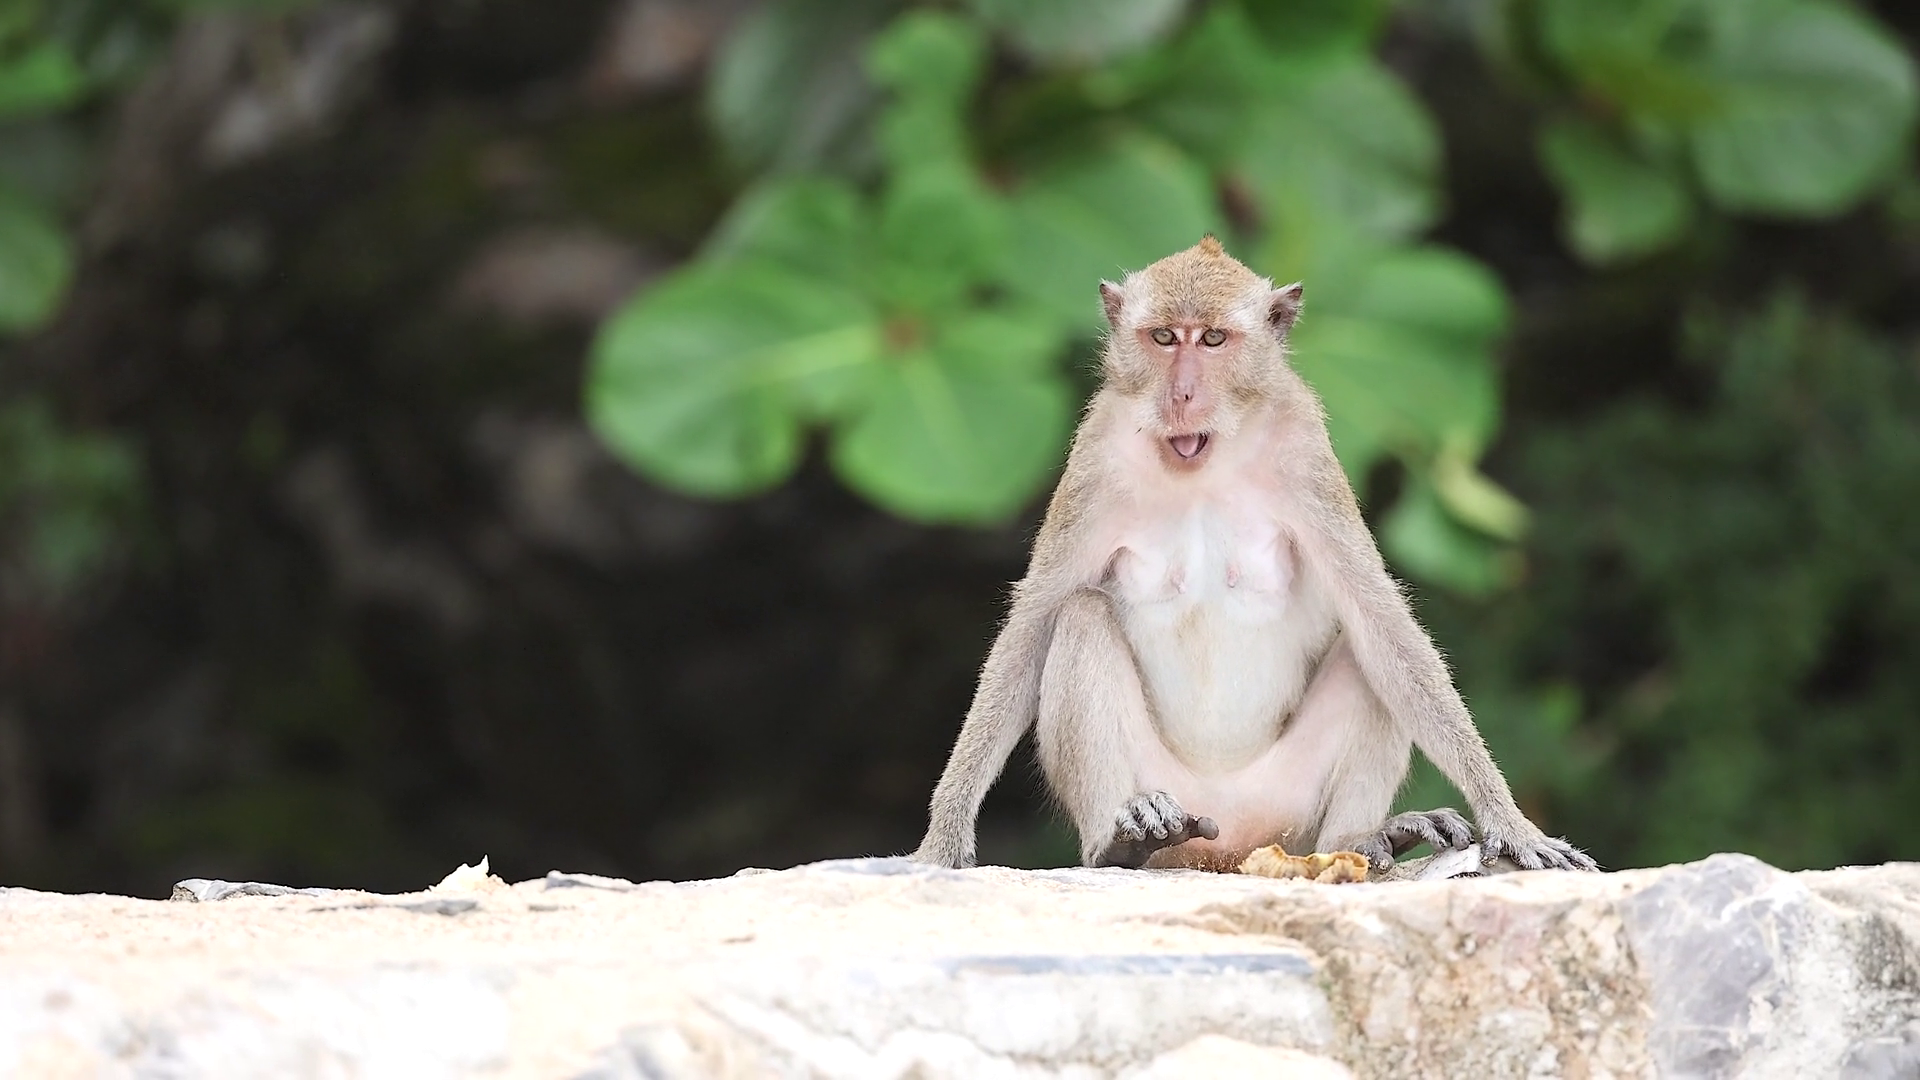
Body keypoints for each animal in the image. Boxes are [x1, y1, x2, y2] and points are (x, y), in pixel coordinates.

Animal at [911, 236, 1595, 875]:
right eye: (1165, 337)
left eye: (1213, 339)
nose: (1183, 394)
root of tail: (1229, 850)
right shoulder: (1094, 456)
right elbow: (1029, 632)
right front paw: (942, 838)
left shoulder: (1305, 449)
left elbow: (1382, 625)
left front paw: (1511, 824)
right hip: (1172, 793)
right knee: (1080, 618)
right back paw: (1120, 841)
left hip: (1287, 810)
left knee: (1365, 652)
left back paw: (1360, 840)